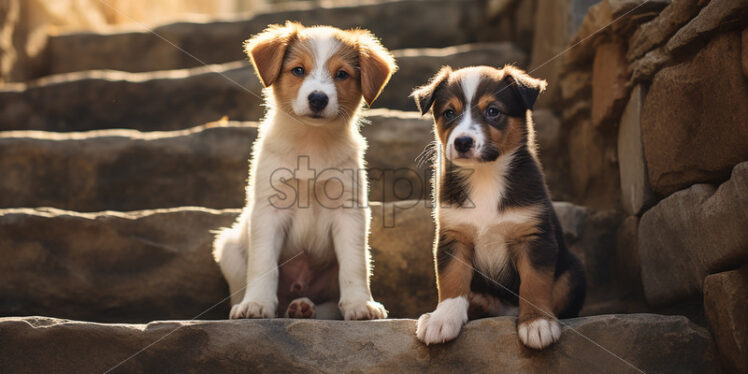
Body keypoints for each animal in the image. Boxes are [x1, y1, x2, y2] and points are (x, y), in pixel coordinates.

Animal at [210, 21, 398, 320]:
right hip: (228, 248)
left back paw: (304, 308)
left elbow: (354, 265)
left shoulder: (349, 211)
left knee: (330, 303)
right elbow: (263, 264)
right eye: (298, 70)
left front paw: (360, 304)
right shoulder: (269, 210)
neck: (311, 140)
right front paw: (257, 304)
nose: (318, 99)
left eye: (341, 74)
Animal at [412, 65, 588, 350]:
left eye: (493, 111)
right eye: (449, 113)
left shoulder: (534, 238)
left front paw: (537, 322)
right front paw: (442, 319)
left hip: (573, 271)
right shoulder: (453, 236)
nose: (462, 142)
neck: (485, 175)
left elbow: (535, 282)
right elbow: (451, 280)